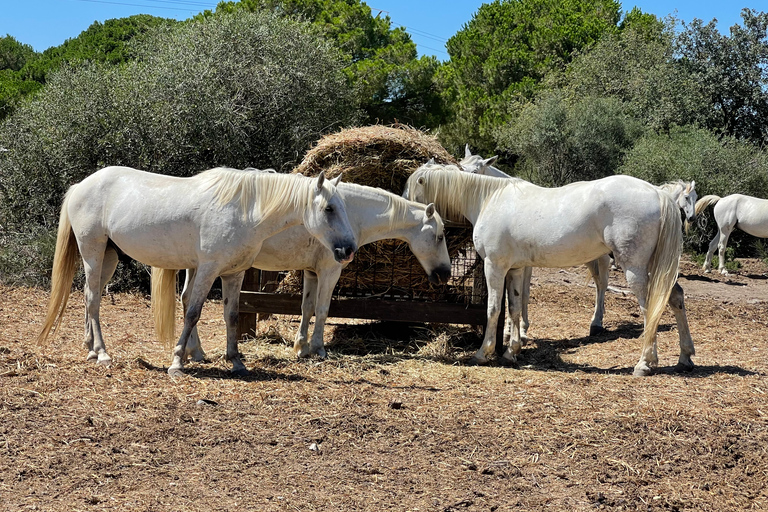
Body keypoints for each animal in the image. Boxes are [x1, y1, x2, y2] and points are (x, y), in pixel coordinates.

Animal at [38, 165, 356, 376]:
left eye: (343, 206)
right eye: (329, 209)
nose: (348, 249)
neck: (245, 211)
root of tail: (81, 185)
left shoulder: (233, 273)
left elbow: (231, 315)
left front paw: (235, 360)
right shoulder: (207, 270)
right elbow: (193, 312)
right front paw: (178, 361)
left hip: (108, 257)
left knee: (89, 298)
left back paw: (91, 349)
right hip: (92, 252)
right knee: (93, 300)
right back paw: (103, 354)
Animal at [152, 183, 452, 360]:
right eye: (439, 236)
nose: (445, 274)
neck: (352, 215)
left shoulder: (311, 273)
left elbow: (307, 308)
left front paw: (301, 347)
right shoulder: (330, 271)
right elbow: (322, 309)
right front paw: (318, 349)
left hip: (196, 265)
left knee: (187, 299)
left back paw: (195, 352)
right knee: (190, 301)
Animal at [402, 165, 684, 376]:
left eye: (410, 186)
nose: (403, 205)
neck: (488, 199)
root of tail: (658, 193)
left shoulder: (495, 266)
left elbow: (493, 309)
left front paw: (483, 353)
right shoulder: (515, 269)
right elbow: (515, 309)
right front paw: (511, 351)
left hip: (635, 269)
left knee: (650, 309)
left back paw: (645, 364)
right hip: (658, 268)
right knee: (676, 297)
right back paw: (686, 358)